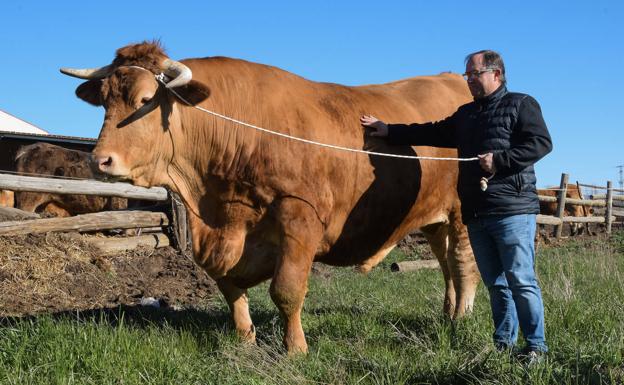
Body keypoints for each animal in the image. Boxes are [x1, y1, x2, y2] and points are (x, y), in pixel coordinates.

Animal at [61, 40, 480, 352]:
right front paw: (245, 338)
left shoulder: (299, 218)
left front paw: (295, 348)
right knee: (444, 262)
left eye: (146, 98)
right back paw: (447, 310)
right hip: (433, 217)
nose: (100, 160)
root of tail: (451, 80)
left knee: (463, 263)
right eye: (104, 100)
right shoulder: (222, 239)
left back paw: (462, 315)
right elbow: (229, 286)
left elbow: (287, 290)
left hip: (463, 213)